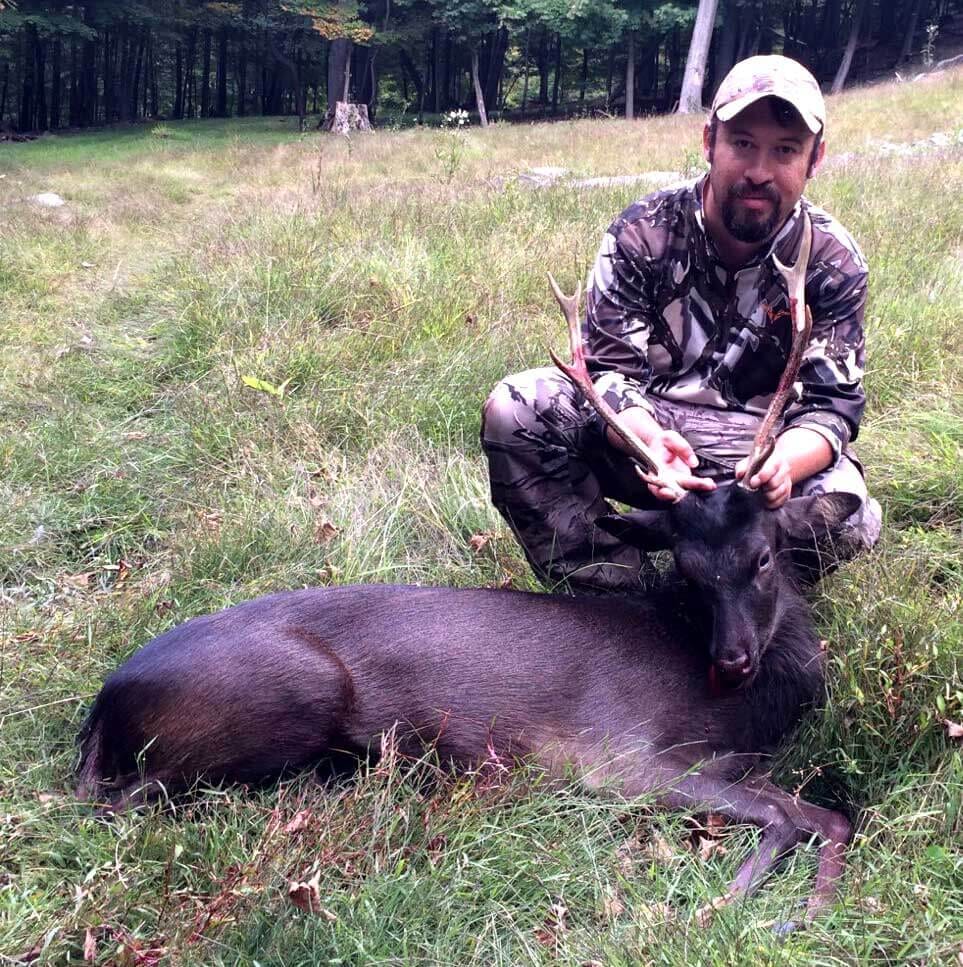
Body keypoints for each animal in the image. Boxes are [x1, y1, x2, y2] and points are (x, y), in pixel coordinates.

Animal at [79, 216, 856, 928]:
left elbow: (827, 815)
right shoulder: (615, 755)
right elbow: (785, 817)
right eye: (689, 572)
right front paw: (731, 904)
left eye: (762, 556)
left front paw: (808, 904)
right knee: (126, 798)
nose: (731, 660)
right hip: (291, 692)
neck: (736, 715)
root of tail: (103, 706)